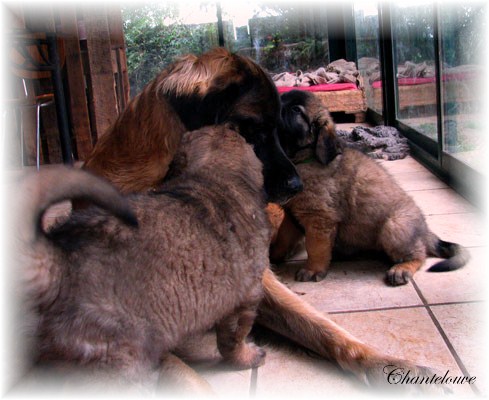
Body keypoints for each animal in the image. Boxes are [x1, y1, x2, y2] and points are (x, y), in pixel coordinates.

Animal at [272, 90, 468, 284]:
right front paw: (272, 256)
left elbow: (315, 247)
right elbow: (283, 238)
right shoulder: (292, 216)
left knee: (419, 254)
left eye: (296, 110)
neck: (304, 158)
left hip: (394, 226)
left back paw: (402, 269)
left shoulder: (319, 218)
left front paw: (312, 269)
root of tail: (426, 232)